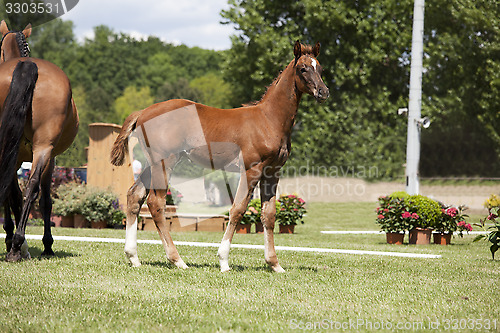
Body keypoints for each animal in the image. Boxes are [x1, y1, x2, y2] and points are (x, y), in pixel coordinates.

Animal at [0, 20, 78, 260]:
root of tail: (27, 66)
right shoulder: (49, 157)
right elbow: (43, 201)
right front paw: (45, 243)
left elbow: (13, 193)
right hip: (43, 148)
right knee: (31, 187)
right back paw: (18, 244)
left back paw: (16, 244)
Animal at [111, 40, 328, 272]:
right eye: (303, 68)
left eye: (320, 68)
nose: (323, 92)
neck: (269, 119)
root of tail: (142, 112)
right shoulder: (252, 168)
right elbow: (238, 209)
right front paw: (224, 261)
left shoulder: (272, 172)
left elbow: (269, 215)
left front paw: (274, 264)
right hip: (164, 162)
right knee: (156, 203)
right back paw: (177, 260)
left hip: (152, 163)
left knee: (134, 196)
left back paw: (134, 257)